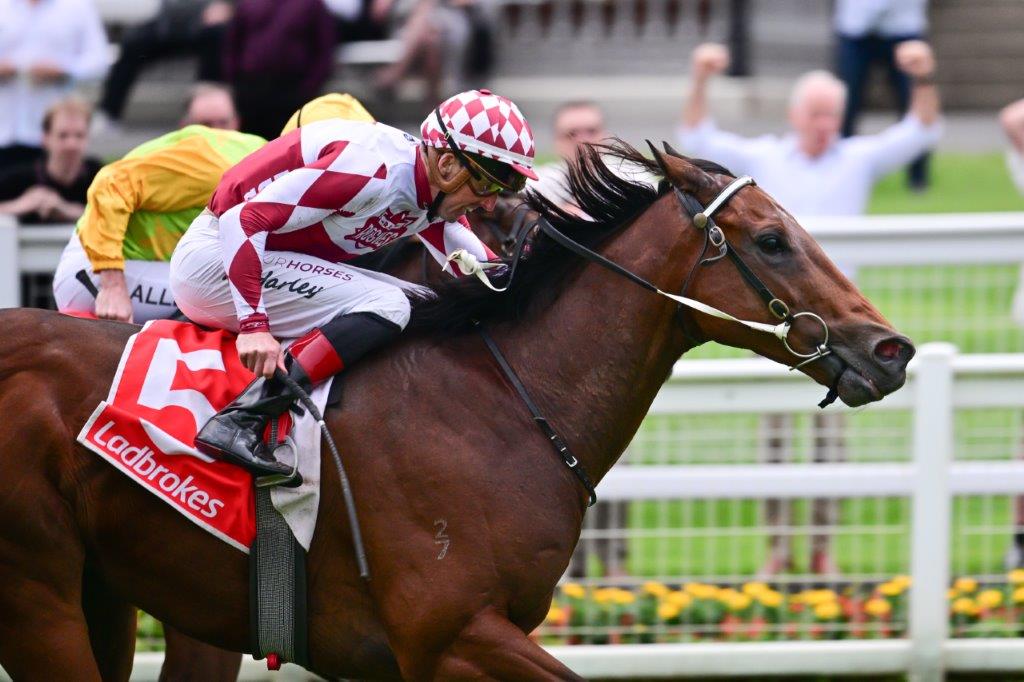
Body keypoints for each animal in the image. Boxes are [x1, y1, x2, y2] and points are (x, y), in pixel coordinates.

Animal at [0, 142, 913, 675]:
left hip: (107, 591)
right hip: (38, 594)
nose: (891, 349)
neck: (501, 404)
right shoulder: (449, 633)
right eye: (772, 241)